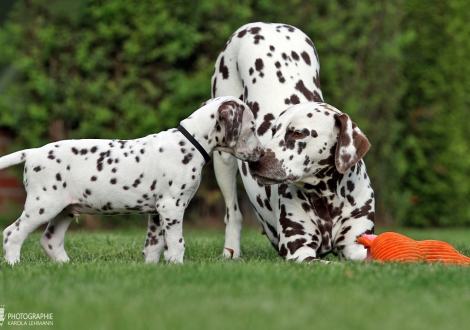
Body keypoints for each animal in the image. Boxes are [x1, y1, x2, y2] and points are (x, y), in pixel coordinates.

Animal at [1, 96, 262, 264]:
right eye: (252, 128)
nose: (260, 155)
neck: (189, 142)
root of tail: (33, 152)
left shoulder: (157, 212)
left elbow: (154, 246)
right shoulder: (172, 207)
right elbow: (177, 242)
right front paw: (177, 265)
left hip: (64, 209)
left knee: (50, 240)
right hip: (42, 205)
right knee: (12, 233)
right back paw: (15, 264)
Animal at [250, 102, 374, 262]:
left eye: (298, 133)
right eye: (273, 131)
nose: (253, 160)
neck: (328, 198)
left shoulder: (355, 246)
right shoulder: (299, 251)